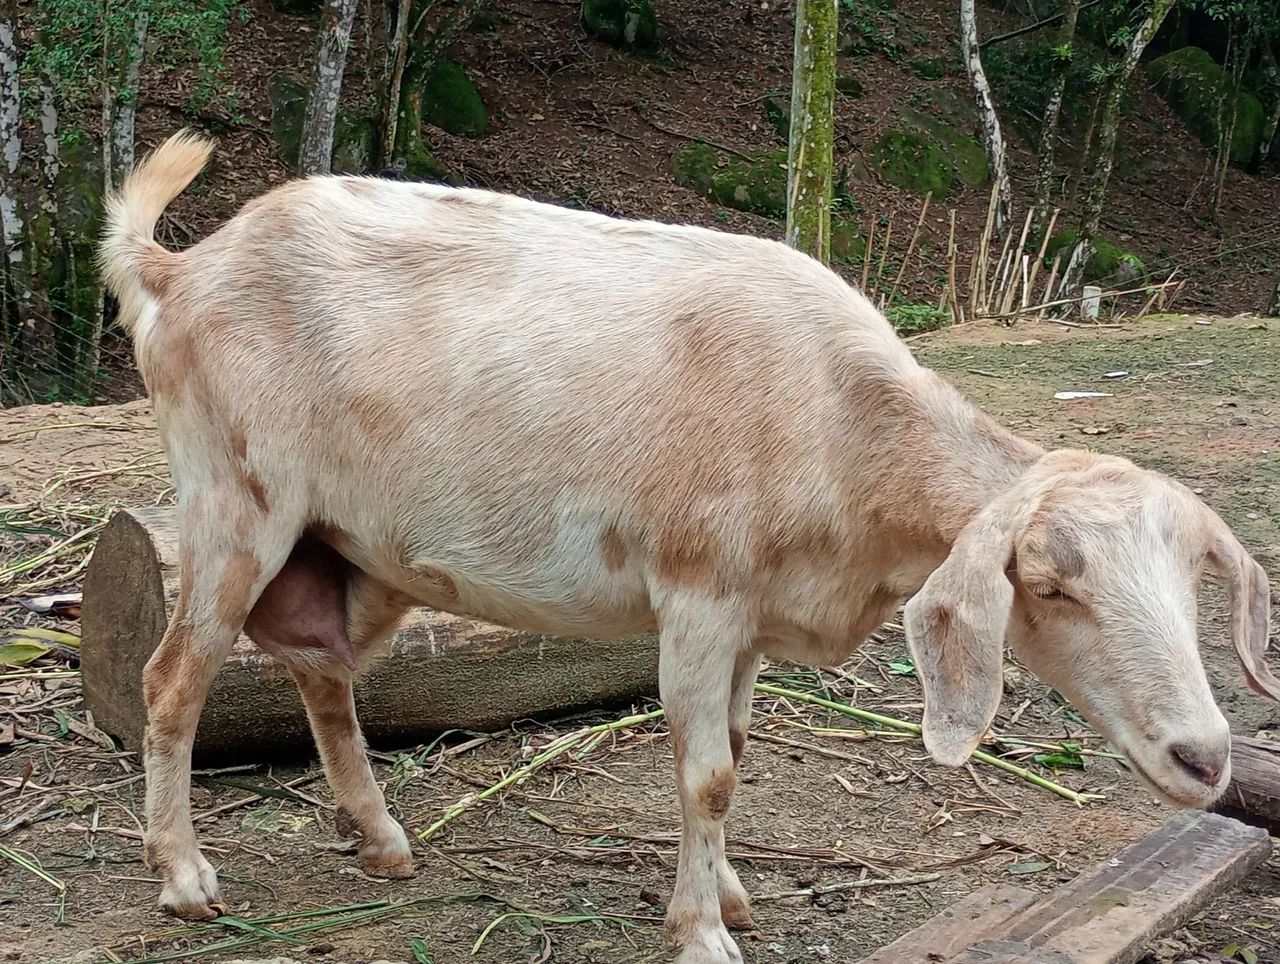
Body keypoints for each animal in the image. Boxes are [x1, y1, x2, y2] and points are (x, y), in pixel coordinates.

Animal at [101, 132, 1278, 964]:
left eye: (1189, 586)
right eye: (1046, 585)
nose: (1204, 760)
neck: (837, 421)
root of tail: (177, 271)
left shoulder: (753, 614)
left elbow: (739, 756)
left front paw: (732, 897)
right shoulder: (700, 596)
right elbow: (705, 772)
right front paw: (701, 932)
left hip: (351, 546)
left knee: (322, 671)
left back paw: (382, 842)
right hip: (232, 505)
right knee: (171, 678)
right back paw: (184, 876)